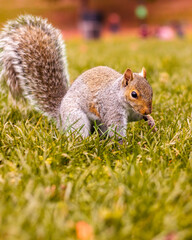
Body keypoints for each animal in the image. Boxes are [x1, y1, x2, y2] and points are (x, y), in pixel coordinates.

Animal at [0, 15, 156, 138]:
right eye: (134, 94)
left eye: (151, 92)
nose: (148, 110)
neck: (120, 96)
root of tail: (60, 116)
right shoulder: (111, 107)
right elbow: (116, 128)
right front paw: (122, 146)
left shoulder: (132, 113)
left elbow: (135, 117)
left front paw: (150, 119)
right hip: (76, 117)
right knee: (77, 133)